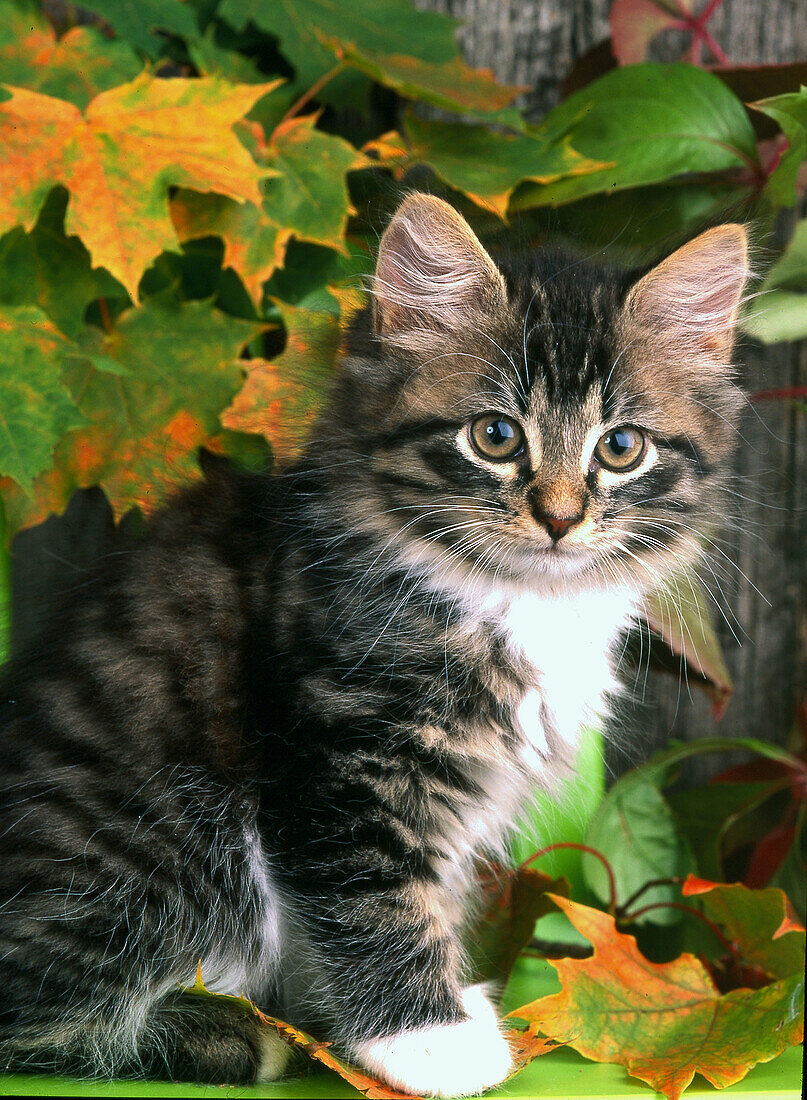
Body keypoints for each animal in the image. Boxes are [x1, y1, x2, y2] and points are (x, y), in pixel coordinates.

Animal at [0, 193, 752, 1095]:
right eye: (495, 436)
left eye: (620, 447)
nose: (560, 516)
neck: (521, 600)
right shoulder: (342, 758)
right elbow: (374, 892)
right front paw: (428, 1038)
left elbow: (433, 894)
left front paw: (444, 1007)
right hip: (150, 857)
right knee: (48, 1017)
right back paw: (231, 1033)